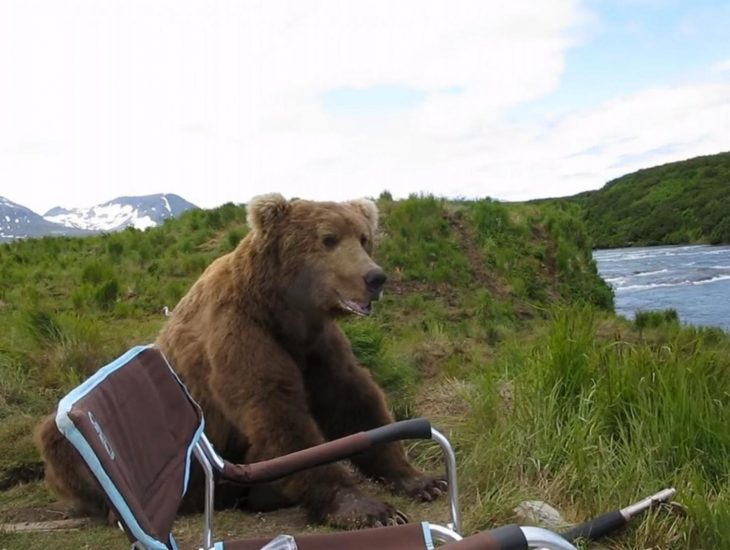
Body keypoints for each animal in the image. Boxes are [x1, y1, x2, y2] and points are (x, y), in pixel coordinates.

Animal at [35, 194, 444, 532]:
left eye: (363, 238)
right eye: (328, 239)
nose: (374, 277)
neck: (280, 309)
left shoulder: (315, 345)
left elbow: (353, 400)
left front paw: (422, 480)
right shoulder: (238, 332)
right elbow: (276, 410)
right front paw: (366, 508)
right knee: (57, 440)